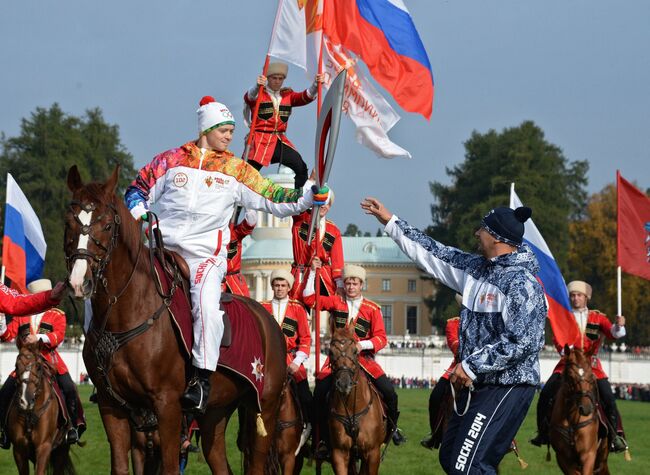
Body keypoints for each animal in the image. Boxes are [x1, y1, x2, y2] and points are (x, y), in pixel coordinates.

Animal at [7, 344, 74, 474]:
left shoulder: (44, 446)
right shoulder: (18, 449)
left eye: (38, 367)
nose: (26, 400)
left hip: (61, 450)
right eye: (16, 366)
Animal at [64, 165, 284, 474]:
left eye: (106, 225)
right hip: (214, 413)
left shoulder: (167, 405)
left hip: (263, 408)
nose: (78, 282)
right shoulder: (112, 407)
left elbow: (168, 465)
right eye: (69, 223)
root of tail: (268, 318)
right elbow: (120, 466)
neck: (125, 317)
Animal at [548, 346, 608, 475]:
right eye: (570, 376)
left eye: (591, 375)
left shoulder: (588, 454)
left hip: (602, 458)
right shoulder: (563, 458)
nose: (586, 408)